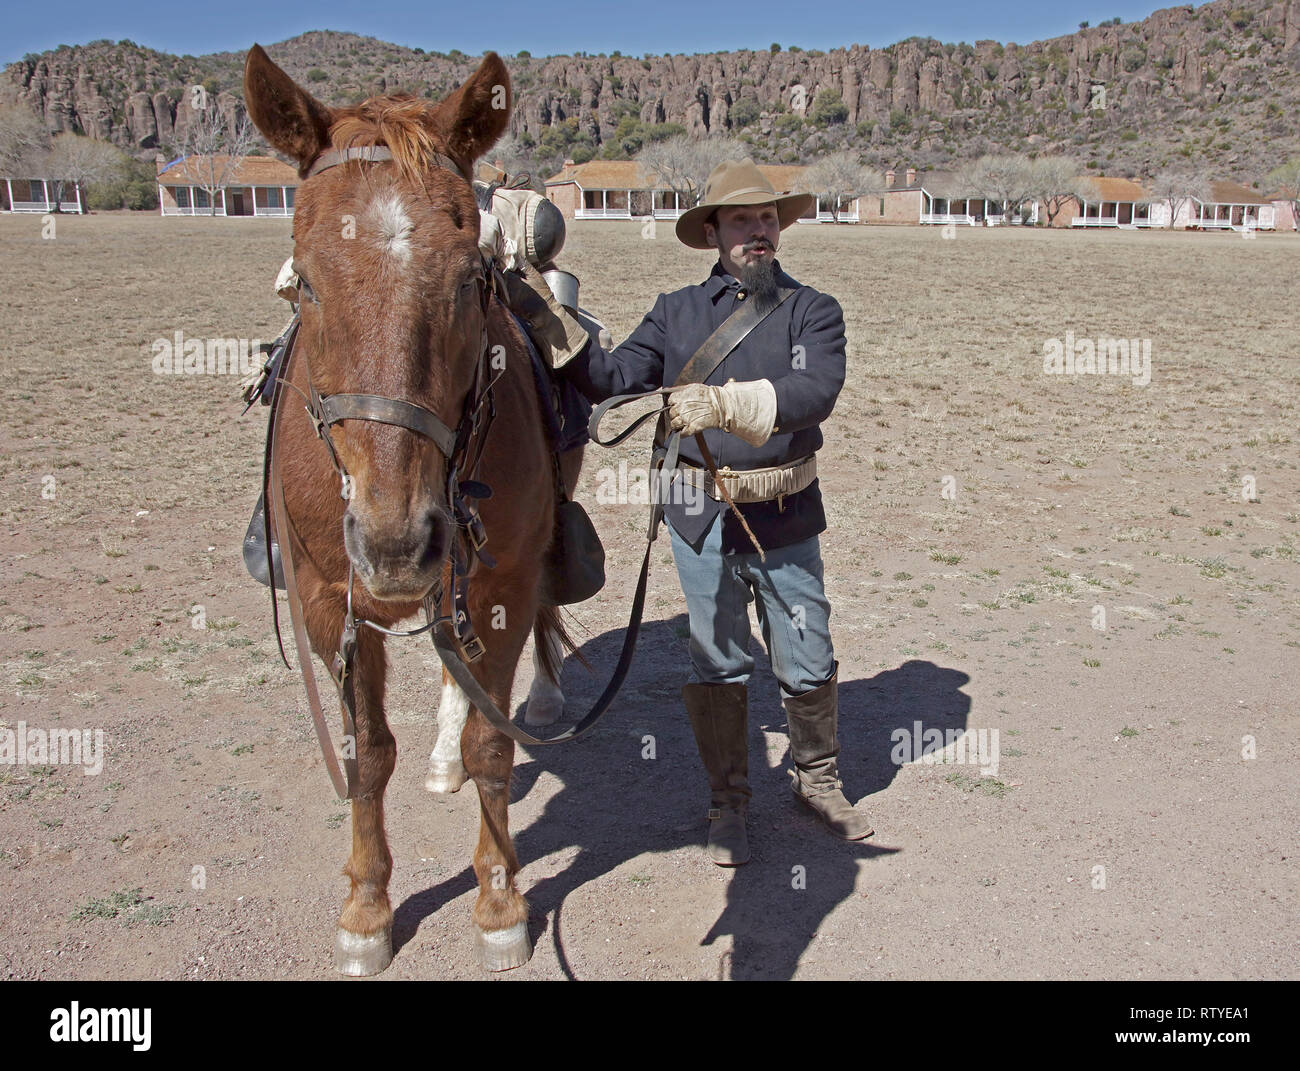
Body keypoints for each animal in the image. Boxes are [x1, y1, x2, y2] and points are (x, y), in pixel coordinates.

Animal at [246, 46, 579, 972]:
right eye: (305, 282)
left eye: (470, 280)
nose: (396, 541)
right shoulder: (330, 599)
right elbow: (366, 754)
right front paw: (366, 909)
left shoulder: (499, 581)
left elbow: (493, 742)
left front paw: (499, 901)